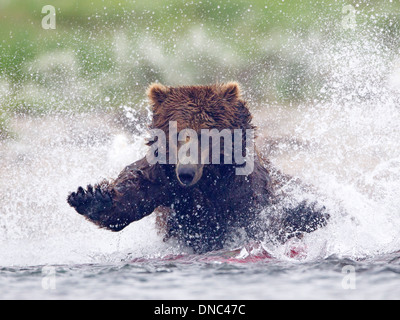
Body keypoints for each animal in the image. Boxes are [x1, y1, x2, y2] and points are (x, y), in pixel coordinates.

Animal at [68, 84, 328, 254]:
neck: (208, 179)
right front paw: (88, 196)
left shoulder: (242, 187)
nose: (186, 172)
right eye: (176, 132)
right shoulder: (163, 181)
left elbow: (263, 219)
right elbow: (128, 201)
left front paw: (303, 211)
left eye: (207, 133)